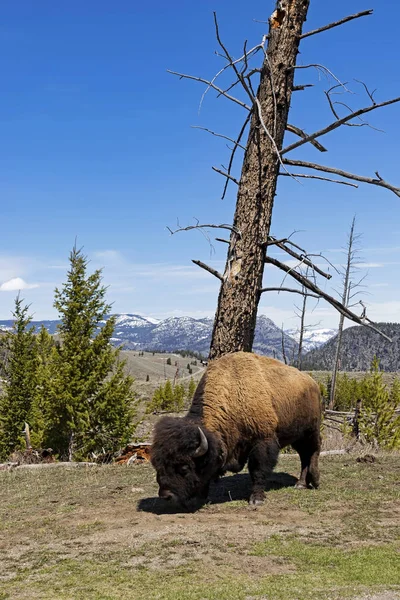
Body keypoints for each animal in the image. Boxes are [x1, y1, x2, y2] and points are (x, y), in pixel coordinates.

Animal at [150, 352, 322, 510]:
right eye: (157, 465)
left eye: (184, 468)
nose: (166, 496)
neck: (232, 393)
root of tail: (313, 383)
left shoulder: (263, 440)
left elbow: (258, 470)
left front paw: (256, 499)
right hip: (297, 437)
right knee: (304, 455)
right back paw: (301, 483)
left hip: (310, 432)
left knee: (313, 451)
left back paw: (312, 481)